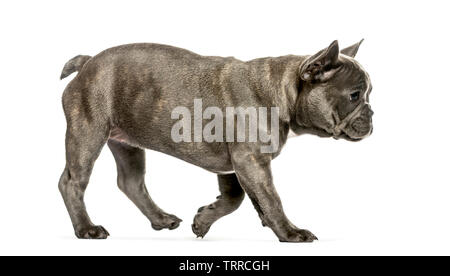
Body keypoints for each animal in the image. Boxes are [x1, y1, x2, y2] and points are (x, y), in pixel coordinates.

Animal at [58, 39, 372, 242]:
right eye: (355, 95)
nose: (372, 114)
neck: (282, 91)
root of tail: (87, 63)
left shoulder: (234, 166)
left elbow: (235, 199)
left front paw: (203, 221)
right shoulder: (250, 161)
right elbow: (270, 198)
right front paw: (289, 232)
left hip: (127, 143)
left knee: (131, 182)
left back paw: (161, 219)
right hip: (88, 132)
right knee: (72, 182)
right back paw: (86, 229)